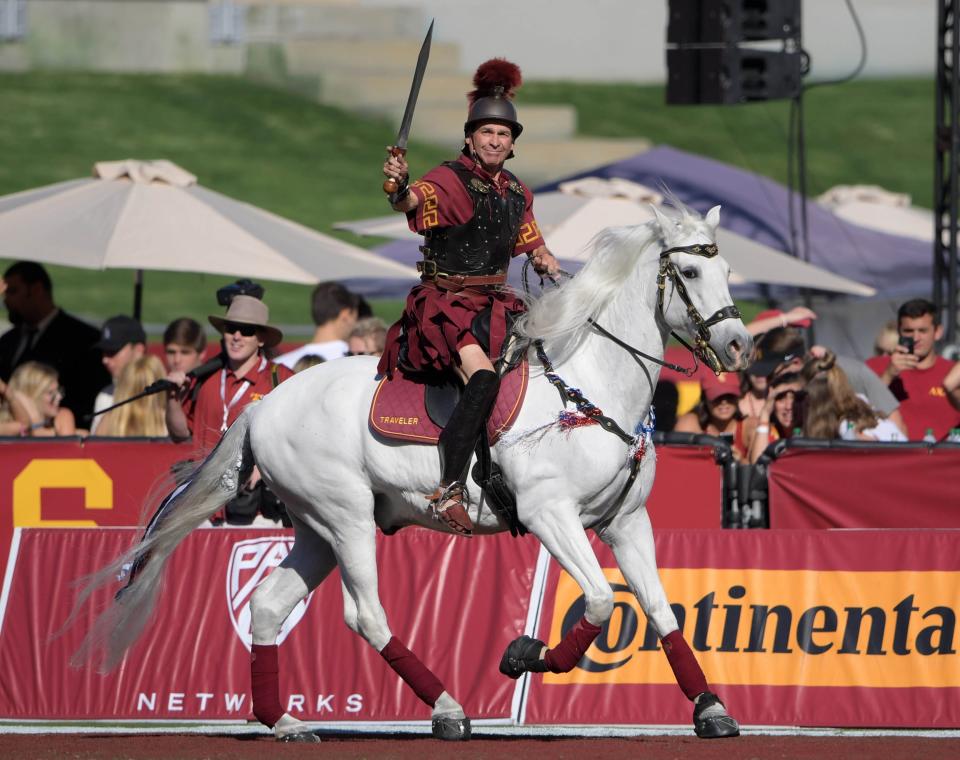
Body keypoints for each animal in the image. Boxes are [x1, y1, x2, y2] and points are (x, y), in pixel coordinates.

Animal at [77, 202, 752, 744]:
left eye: (726, 271)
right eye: (691, 273)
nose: (741, 347)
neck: (588, 387)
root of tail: (264, 404)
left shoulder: (625, 523)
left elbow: (660, 613)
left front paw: (710, 709)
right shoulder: (549, 515)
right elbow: (600, 602)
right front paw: (523, 654)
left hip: (316, 530)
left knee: (267, 607)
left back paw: (285, 722)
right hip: (346, 520)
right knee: (366, 616)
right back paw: (448, 710)